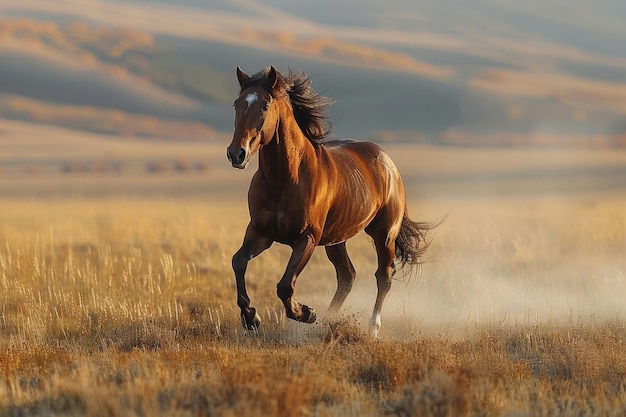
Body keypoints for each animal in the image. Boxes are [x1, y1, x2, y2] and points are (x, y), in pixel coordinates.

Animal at [224, 66, 434, 338]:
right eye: (237, 104)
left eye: (265, 105)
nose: (236, 154)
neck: (284, 178)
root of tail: (387, 162)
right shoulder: (261, 233)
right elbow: (238, 262)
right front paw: (251, 318)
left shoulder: (307, 238)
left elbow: (285, 285)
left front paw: (305, 313)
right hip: (337, 240)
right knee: (347, 276)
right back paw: (328, 323)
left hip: (384, 233)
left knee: (383, 275)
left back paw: (371, 327)